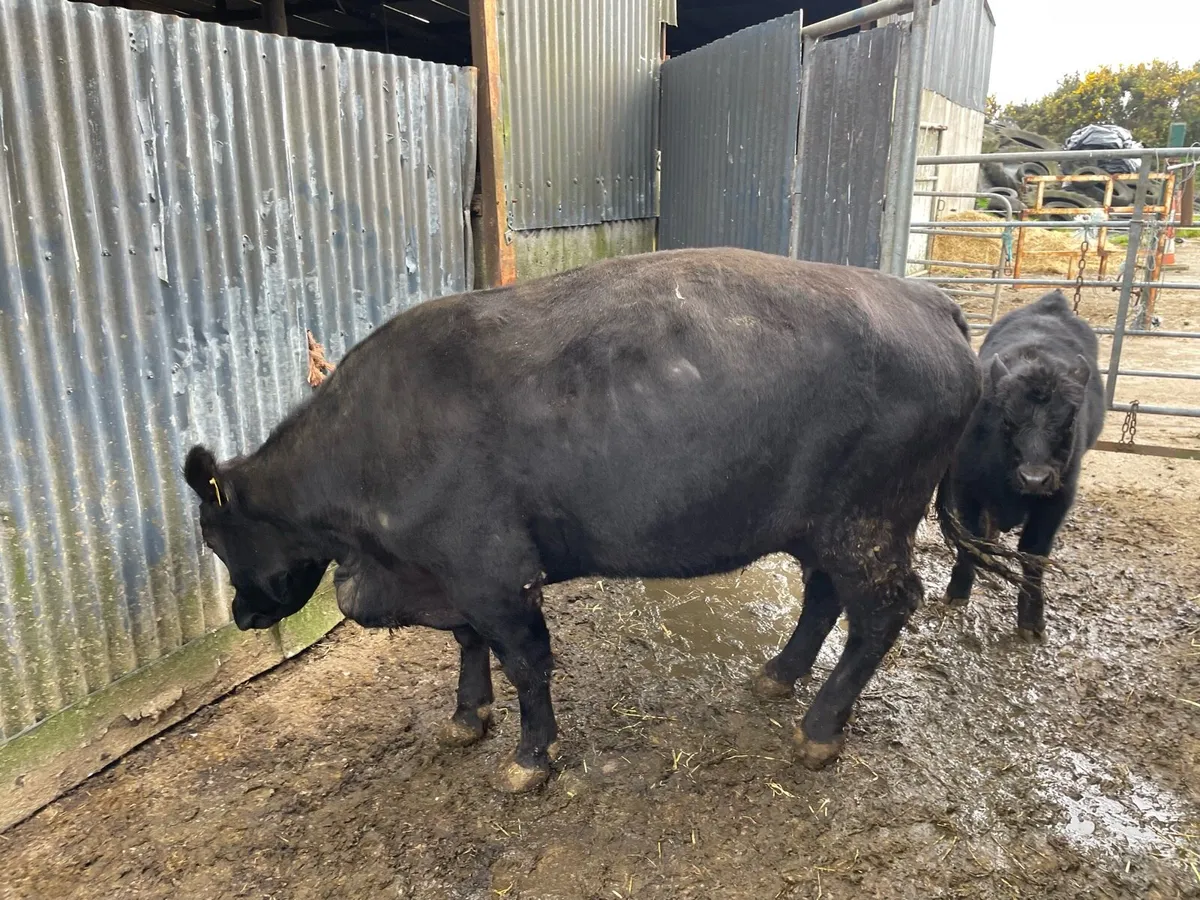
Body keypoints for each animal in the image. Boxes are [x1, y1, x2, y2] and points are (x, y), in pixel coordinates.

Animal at [184, 247, 1014, 793]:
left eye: (215, 537)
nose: (242, 614)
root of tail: (926, 300)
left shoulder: (493, 570)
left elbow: (526, 661)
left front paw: (530, 758)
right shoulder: (447, 574)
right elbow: (467, 645)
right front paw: (466, 716)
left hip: (869, 523)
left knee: (883, 609)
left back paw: (819, 729)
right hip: (823, 525)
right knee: (822, 593)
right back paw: (779, 676)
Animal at [938, 289, 1104, 641]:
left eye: (1068, 421)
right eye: (1008, 420)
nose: (1035, 478)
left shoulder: (1056, 501)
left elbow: (1034, 554)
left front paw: (1032, 618)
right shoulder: (966, 489)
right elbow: (970, 538)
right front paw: (958, 589)